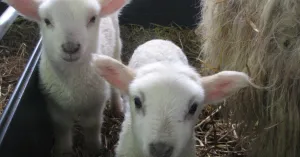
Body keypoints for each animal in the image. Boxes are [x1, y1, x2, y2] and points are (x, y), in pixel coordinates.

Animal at [2, 0, 131, 156]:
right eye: (47, 21)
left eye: (93, 18)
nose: (70, 48)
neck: (72, 83)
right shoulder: (53, 100)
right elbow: (61, 125)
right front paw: (63, 150)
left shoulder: (96, 101)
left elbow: (92, 124)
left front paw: (93, 148)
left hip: (116, 43)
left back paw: (117, 107)